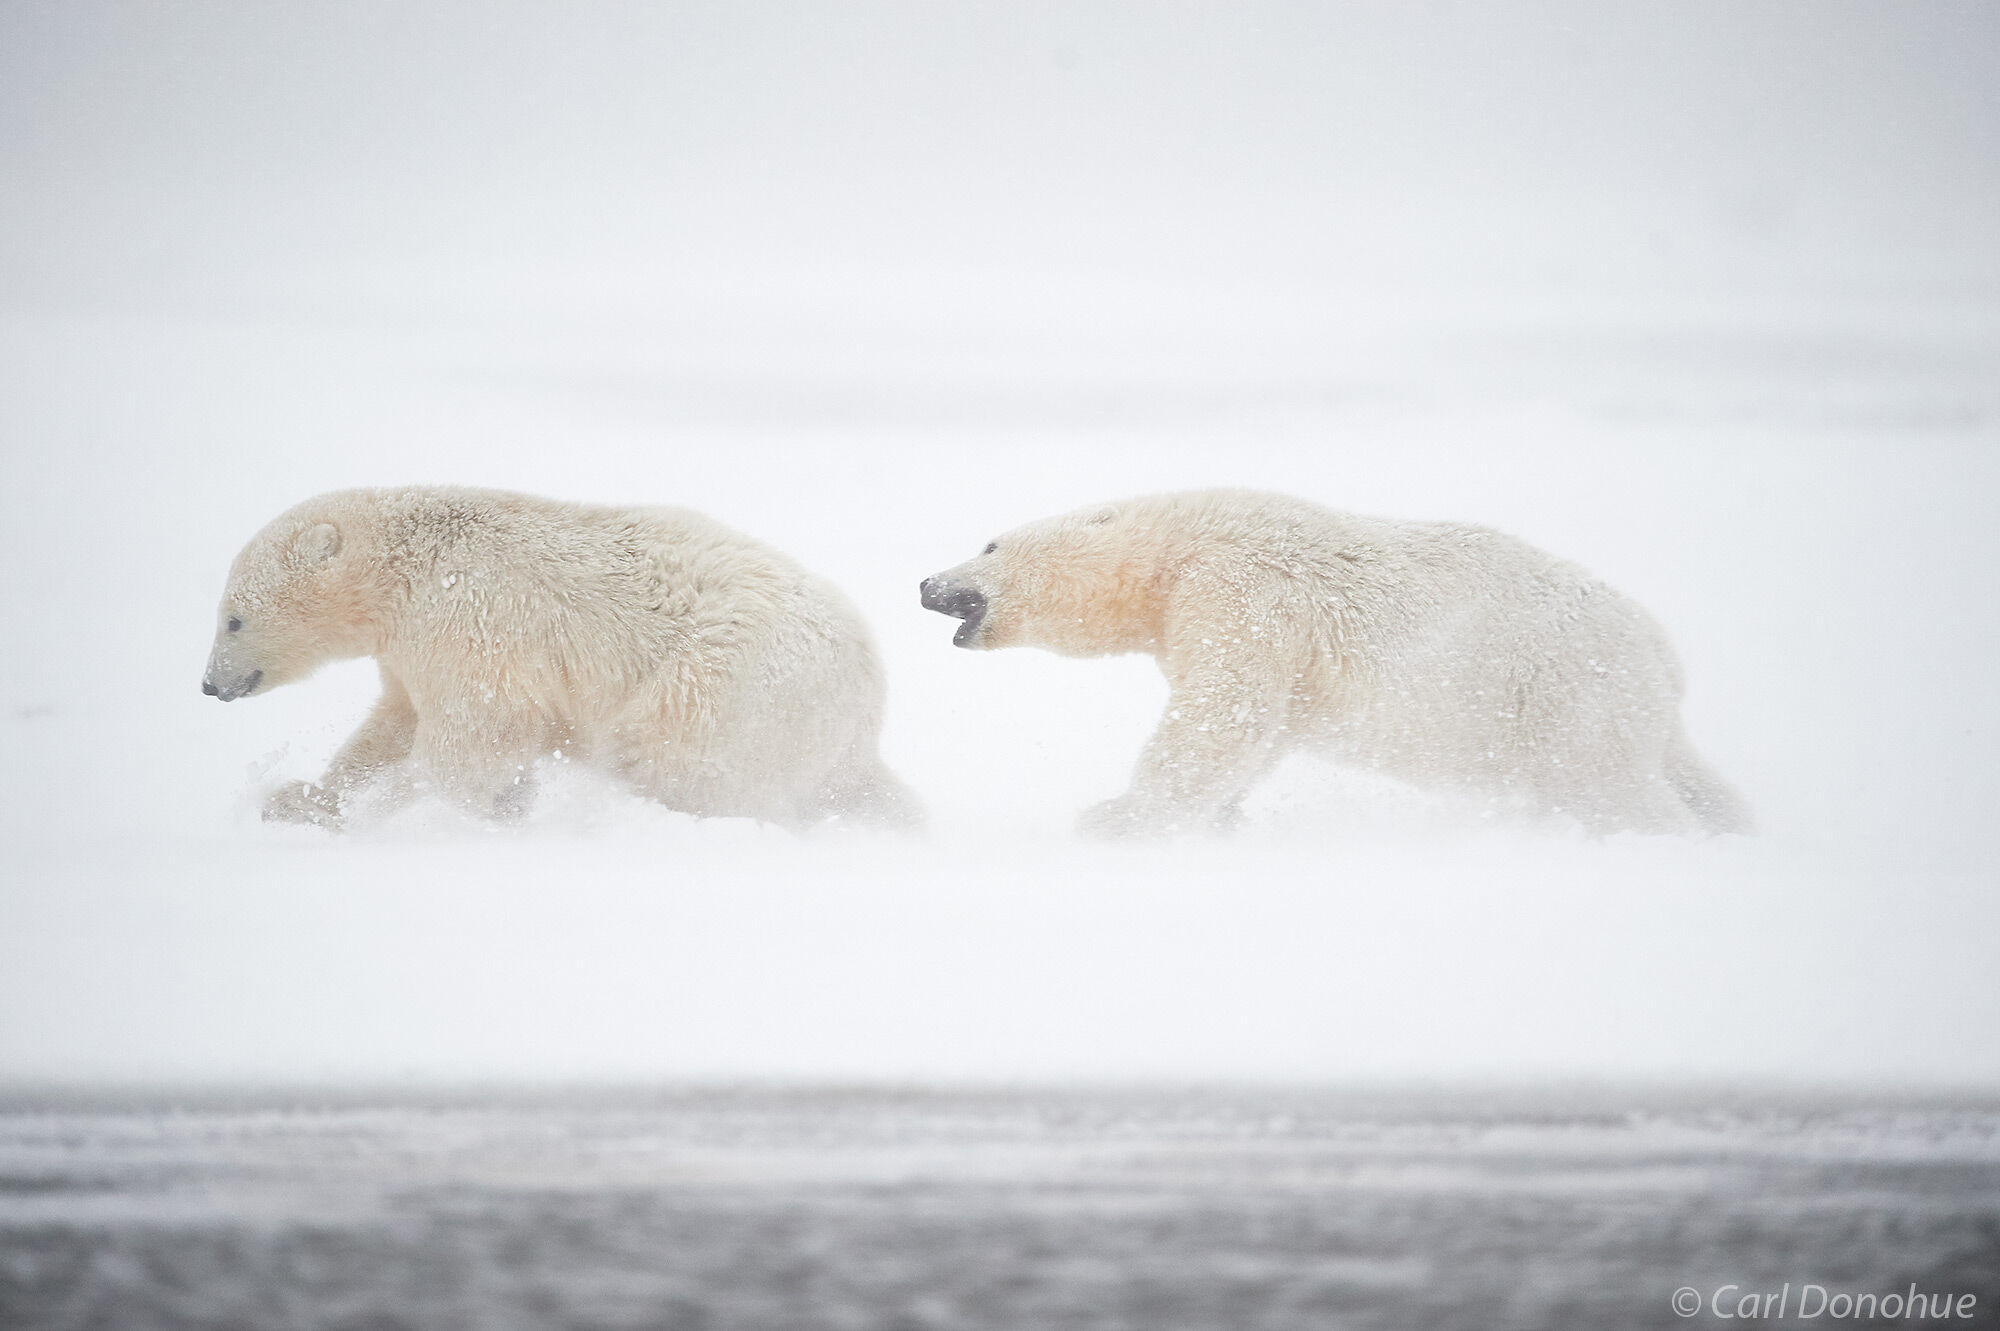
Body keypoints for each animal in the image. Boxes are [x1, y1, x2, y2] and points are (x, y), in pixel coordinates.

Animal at [203, 481, 920, 823]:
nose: (210, 684)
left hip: (724, 688)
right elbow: (392, 723)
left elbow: (472, 740)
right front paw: (306, 796)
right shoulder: (410, 649)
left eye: (233, 618)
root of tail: (866, 709)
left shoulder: (469, 620)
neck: (412, 565)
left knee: (671, 758)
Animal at [920, 487, 1752, 839]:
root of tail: (1663, 654)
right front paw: (1219, 818)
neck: (1177, 544)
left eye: (988, 543)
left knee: (1612, 786)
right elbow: (1255, 731)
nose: (926, 582)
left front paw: (1116, 815)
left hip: (1564, 691)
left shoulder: (1240, 588)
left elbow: (1221, 713)